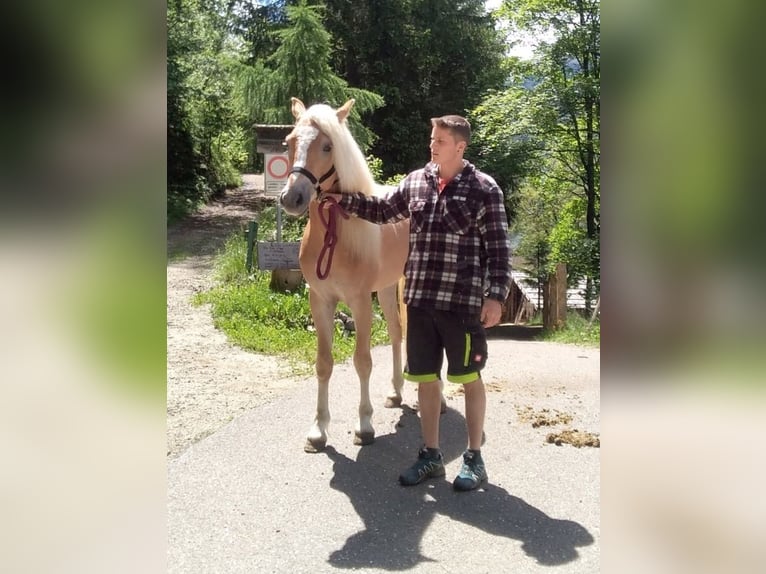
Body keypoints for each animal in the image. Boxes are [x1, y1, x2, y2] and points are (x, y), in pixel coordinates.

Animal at [280, 97, 412, 452]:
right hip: (387, 288)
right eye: (289, 142)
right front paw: (318, 430)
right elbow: (324, 363)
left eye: (328, 146)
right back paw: (395, 392)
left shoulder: (360, 302)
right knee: (396, 332)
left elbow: (362, 361)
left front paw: (364, 425)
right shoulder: (320, 300)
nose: (292, 198)